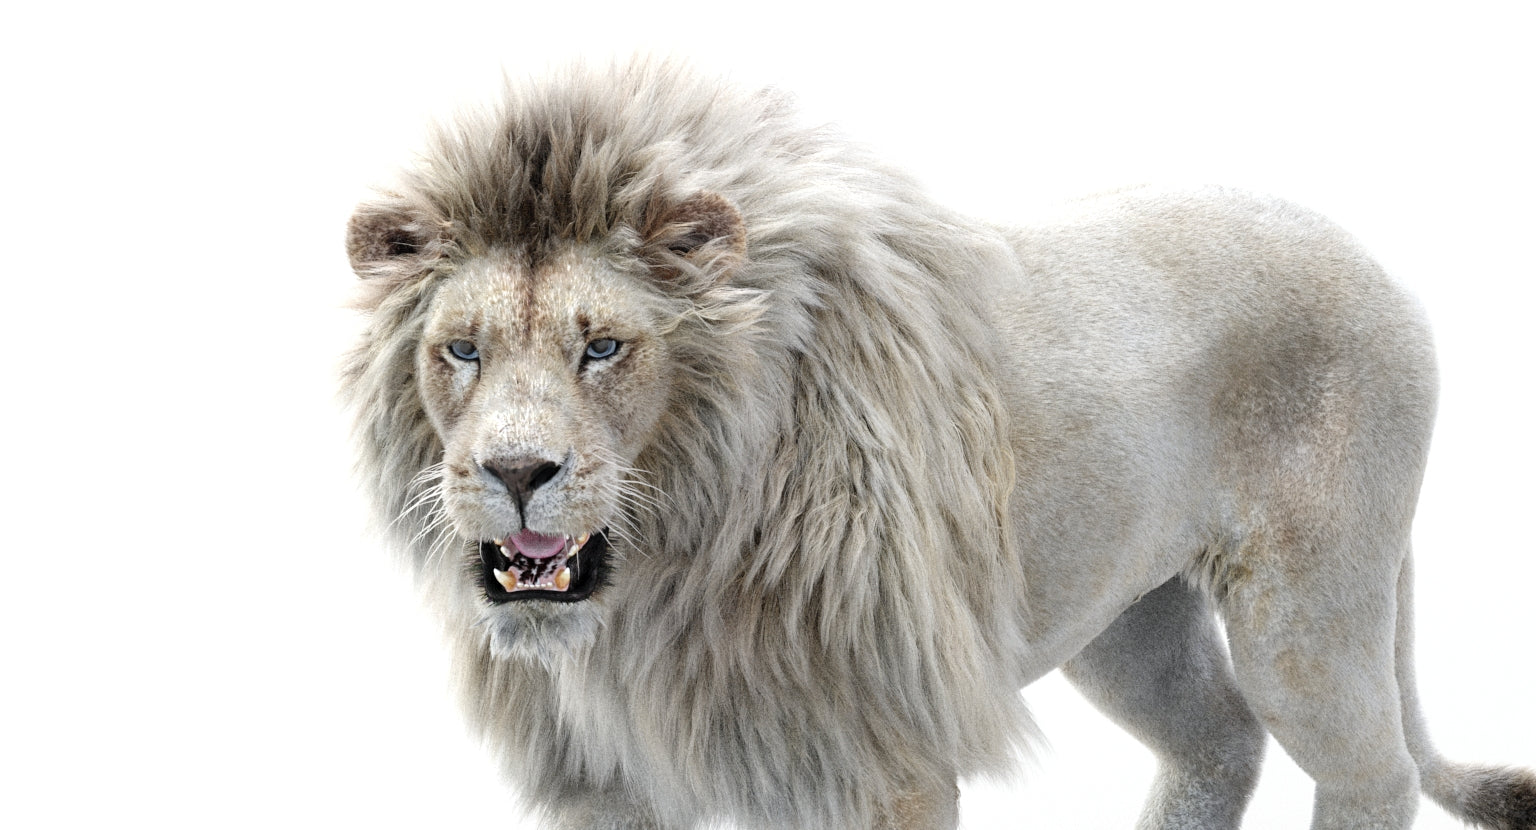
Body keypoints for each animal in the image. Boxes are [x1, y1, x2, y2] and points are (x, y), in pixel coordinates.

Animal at [341, 59, 1535, 830]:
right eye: (461, 349)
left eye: (602, 346)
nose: (517, 473)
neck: (661, 577)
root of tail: (1377, 260)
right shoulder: (606, 780)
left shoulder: (880, 757)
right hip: (1126, 617)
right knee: (1219, 739)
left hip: (1306, 604)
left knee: (1373, 770)